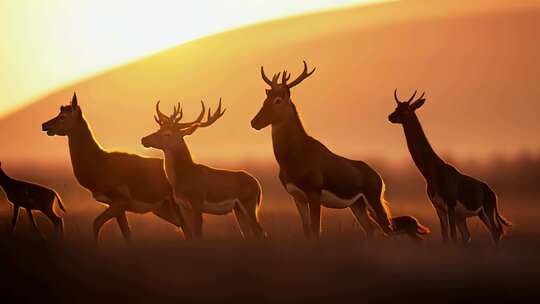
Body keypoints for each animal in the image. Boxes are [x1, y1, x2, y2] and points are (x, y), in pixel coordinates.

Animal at [40, 94, 189, 243]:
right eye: (60, 112)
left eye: (63, 116)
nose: (44, 125)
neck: (100, 161)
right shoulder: (117, 208)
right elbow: (127, 234)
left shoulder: (120, 202)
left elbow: (96, 223)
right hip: (163, 210)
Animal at [140, 98, 264, 239]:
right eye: (158, 129)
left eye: (167, 133)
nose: (144, 140)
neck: (185, 176)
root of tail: (258, 184)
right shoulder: (184, 206)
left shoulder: (197, 202)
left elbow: (198, 234)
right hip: (238, 209)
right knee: (248, 233)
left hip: (249, 203)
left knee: (260, 232)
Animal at [251, 61, 428, 240]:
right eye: (266, 99)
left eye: (278, 100)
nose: (254, 122)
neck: (296, 156)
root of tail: (378, 177)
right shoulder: (296, 196)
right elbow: (307, 231)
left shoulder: (314, 194)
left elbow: (316, 230)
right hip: (357, 205)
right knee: (372, 230)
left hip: (373, 200)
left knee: (389, 230)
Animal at [388, 90, 510, 245]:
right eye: (397, 107)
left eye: (407, 110)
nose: (390, 117)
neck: (433, 173)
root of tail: (492, 192)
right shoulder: (438, 208)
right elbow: (445, 236)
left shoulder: (450, 206)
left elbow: (452, 236)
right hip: (467, 216)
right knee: (470, 235)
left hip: (485, 213)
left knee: (496, 233)